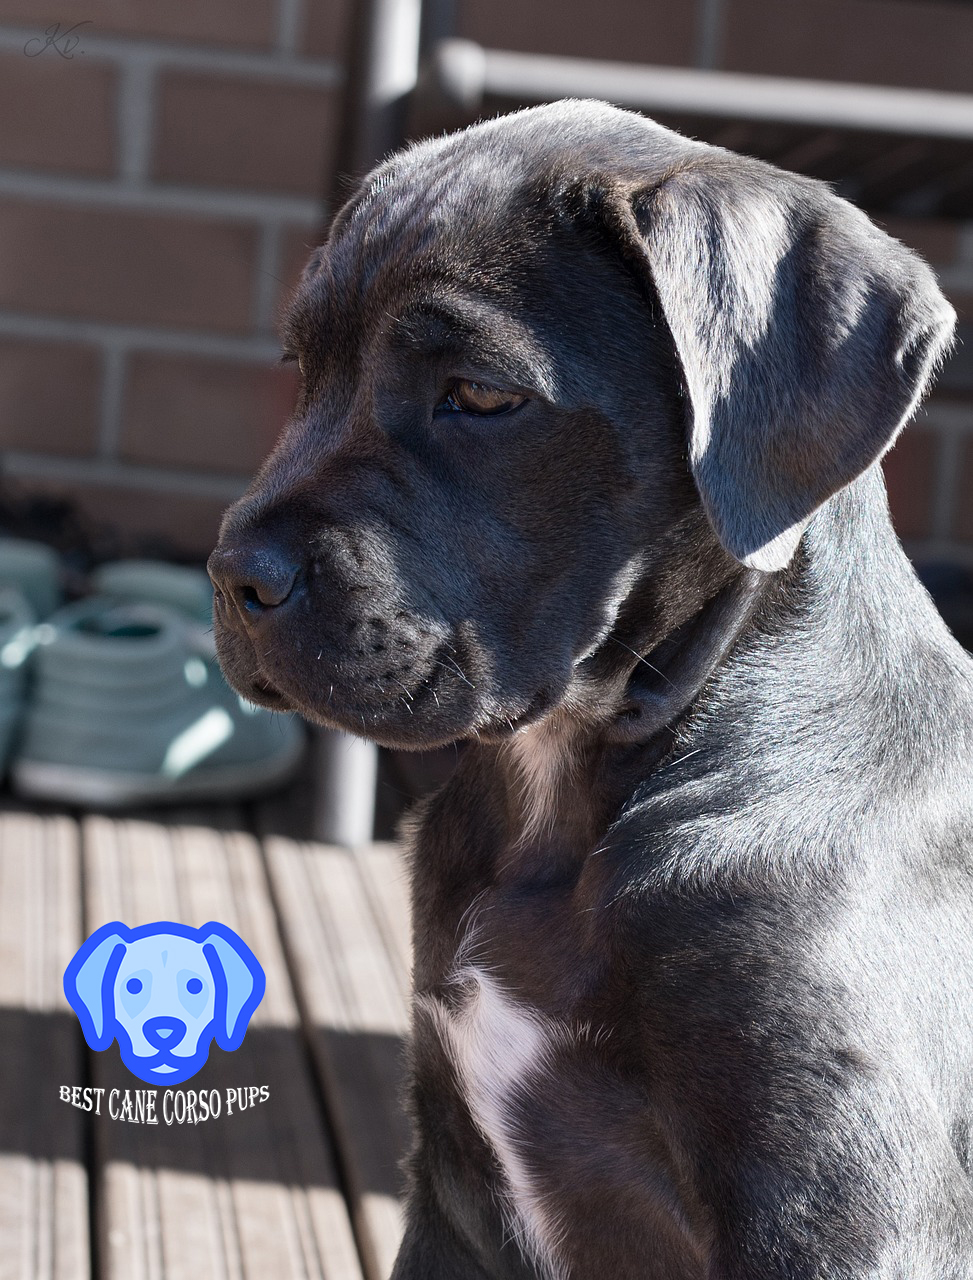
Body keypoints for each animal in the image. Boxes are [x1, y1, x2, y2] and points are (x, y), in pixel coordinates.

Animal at [207, 102, 973, 1280]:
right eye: (302, 368)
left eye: (482, 395)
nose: (235, 576)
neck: (561, 788)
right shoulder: (453, 1195)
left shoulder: (839, 1214)